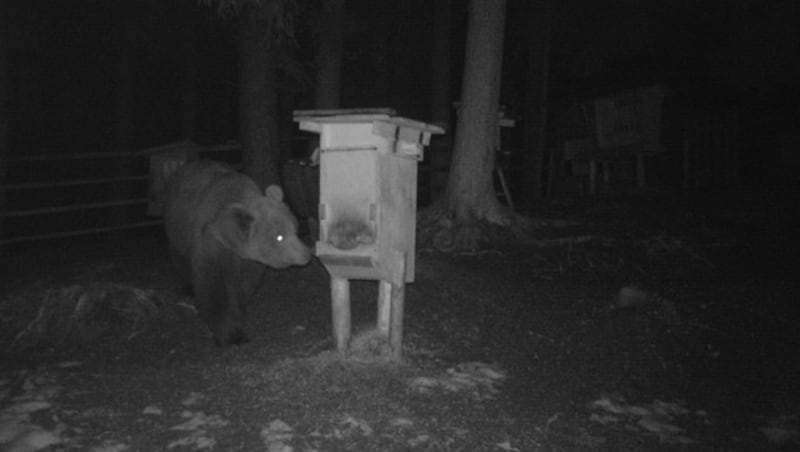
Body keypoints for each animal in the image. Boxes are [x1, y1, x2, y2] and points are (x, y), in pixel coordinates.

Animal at [164, 161, 310, 344]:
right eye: (279, 237)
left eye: (295, 229)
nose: (306, 254)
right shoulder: (210, 245)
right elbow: (213, 287)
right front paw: (230, 332)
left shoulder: (249, 261)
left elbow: (244, 285)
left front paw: (240, 310)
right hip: (178, 229)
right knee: (179, 257)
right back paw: (187, 287)